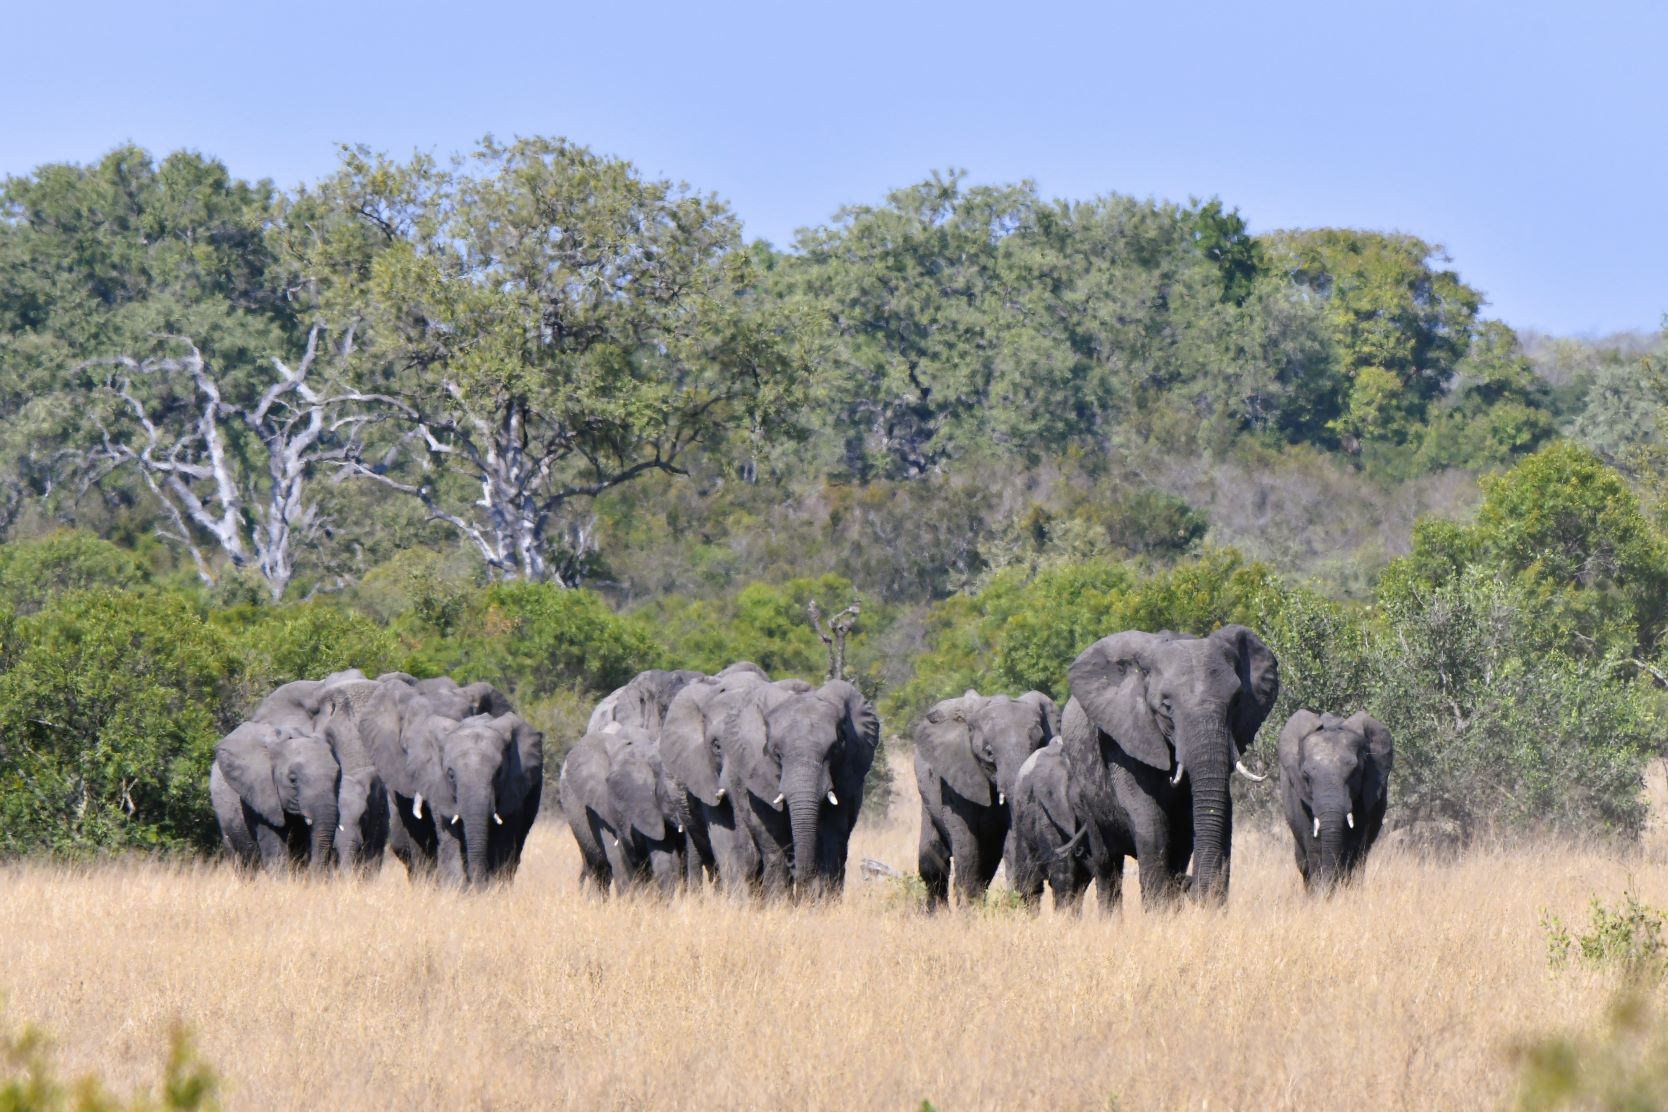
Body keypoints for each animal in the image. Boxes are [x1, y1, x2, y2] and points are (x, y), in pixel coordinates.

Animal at [723, 679, 880, 899]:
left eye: (834, 750)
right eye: (777, 754)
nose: (802, 883)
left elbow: (832, 834)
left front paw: (821, 902)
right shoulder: (759, 775)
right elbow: (773, 834)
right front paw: (778, 902)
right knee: (749, 854)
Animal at [914, 689, 1056, 910]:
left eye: (1038, 744)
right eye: (988, 752)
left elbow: (1010, 839)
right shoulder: (957, 773)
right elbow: (965, 839)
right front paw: (968, 913)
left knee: (987, 862)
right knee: (932, 861)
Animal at [1062, 625, 1279, 907]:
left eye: (1236, 701)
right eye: (1166, 707)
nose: (1191, 886)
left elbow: (1213, 817)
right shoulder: (1123, 736)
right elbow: (1149, 816)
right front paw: (1158, 910)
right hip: (1083, 796)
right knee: (1106, 864)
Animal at [1277, 710, 1394, 889]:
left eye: (1354, 772)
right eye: (1306, 775)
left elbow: (1354, 845)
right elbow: (1314, 845)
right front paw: (1321, 892)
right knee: (1302, 863)